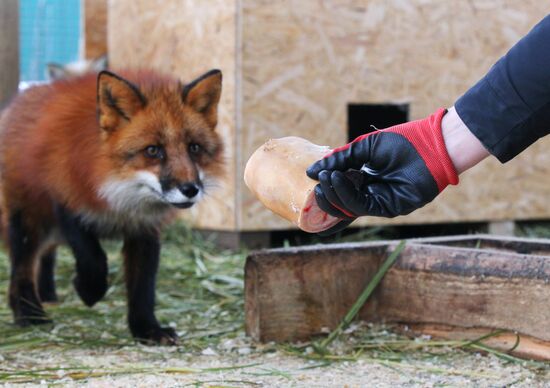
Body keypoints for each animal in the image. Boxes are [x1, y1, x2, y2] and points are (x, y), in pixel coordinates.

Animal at [0, 68, 224, 344]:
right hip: (28, 223)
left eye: (194, 148)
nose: (190, 189)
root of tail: (20, 97)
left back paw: (47, 294)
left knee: (45, 257)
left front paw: (147, 330)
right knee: (21, 271)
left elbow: (143, 288)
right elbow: (93, 257)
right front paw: (89, 290)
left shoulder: (144, 230)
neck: (121, 200)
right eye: (153, 150)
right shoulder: (67, 200)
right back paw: (29, 314)